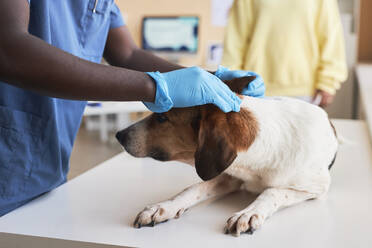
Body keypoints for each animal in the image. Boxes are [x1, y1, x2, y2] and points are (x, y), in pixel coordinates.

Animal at [115, 76, 338, 237]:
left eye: (162, 117)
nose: (119, 135)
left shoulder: (315, 188)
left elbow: (272, 192)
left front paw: (248, 213)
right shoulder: (229, 174)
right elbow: (192, 189)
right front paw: (163, 207)